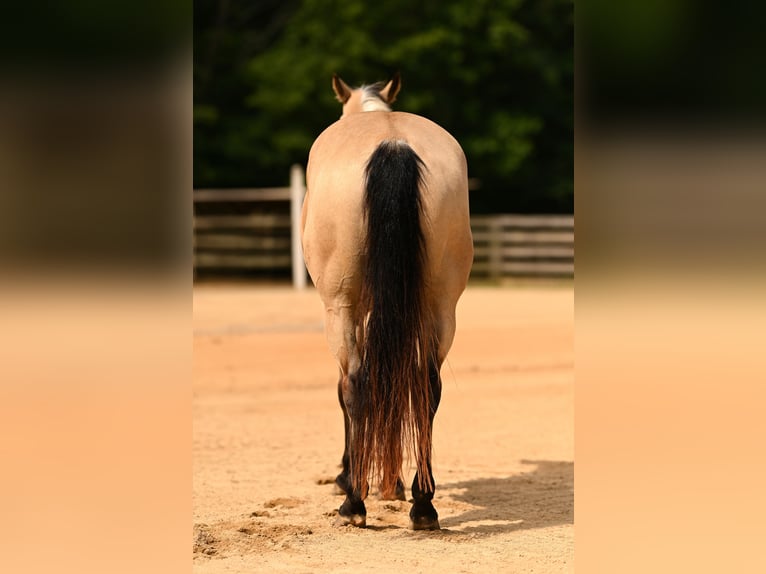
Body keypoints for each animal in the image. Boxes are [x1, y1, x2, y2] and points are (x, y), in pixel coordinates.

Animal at [301, 73, 473, 530]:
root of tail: (393, 144)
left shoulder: (347, 309)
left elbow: (346, 390)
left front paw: (351, 477)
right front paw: (391, 483)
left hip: (341, 309)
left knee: (356, 385)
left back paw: (353, 504)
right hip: (440, 307)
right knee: (426, 387)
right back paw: (423, 504)